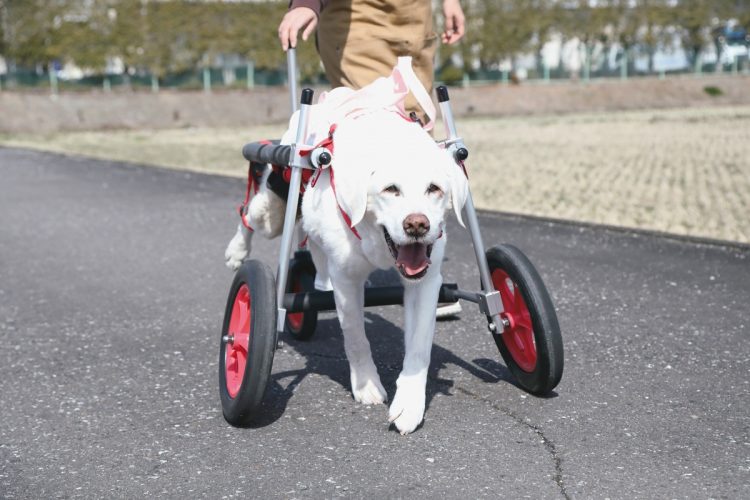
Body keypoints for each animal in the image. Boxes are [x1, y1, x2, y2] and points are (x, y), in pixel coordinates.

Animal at [226, 66, 468, 434]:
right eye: (390, 189)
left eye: (435, 189)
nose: (417, 225)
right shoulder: (347, 280)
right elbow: (355, 334)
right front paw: (367, 385)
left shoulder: (426, 282)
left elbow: (419, 347)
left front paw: (409, 404)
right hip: (273, 210)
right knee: (248, 214)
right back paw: (237, 252)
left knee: (313, 245)